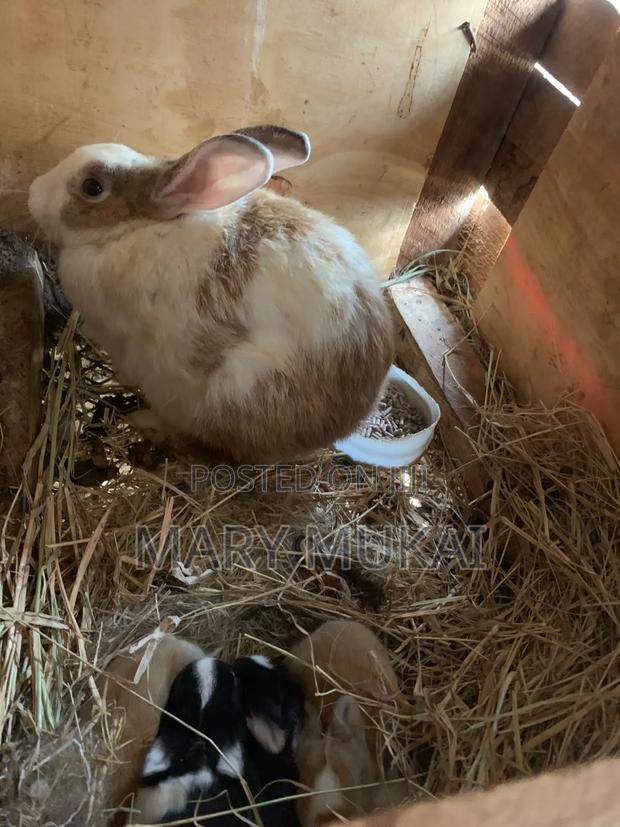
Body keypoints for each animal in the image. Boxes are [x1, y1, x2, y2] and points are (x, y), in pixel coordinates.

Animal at [28, 124, 394, 464]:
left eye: (92, 187)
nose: (33, 191)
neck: (136, 227)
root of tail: (340, 426)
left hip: (232, 394)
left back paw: (150, 424)